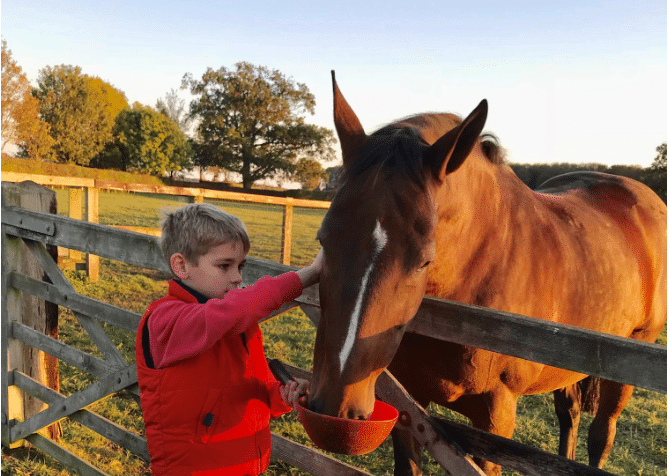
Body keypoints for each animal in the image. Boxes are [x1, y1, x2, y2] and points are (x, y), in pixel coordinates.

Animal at [312, 71, 668, 476]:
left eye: (424, 260)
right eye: (323, 239)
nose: (336, 409)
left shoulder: (495, 418)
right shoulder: (409, 406)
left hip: (629, 360)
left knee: (601, 434)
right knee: (570, 415)